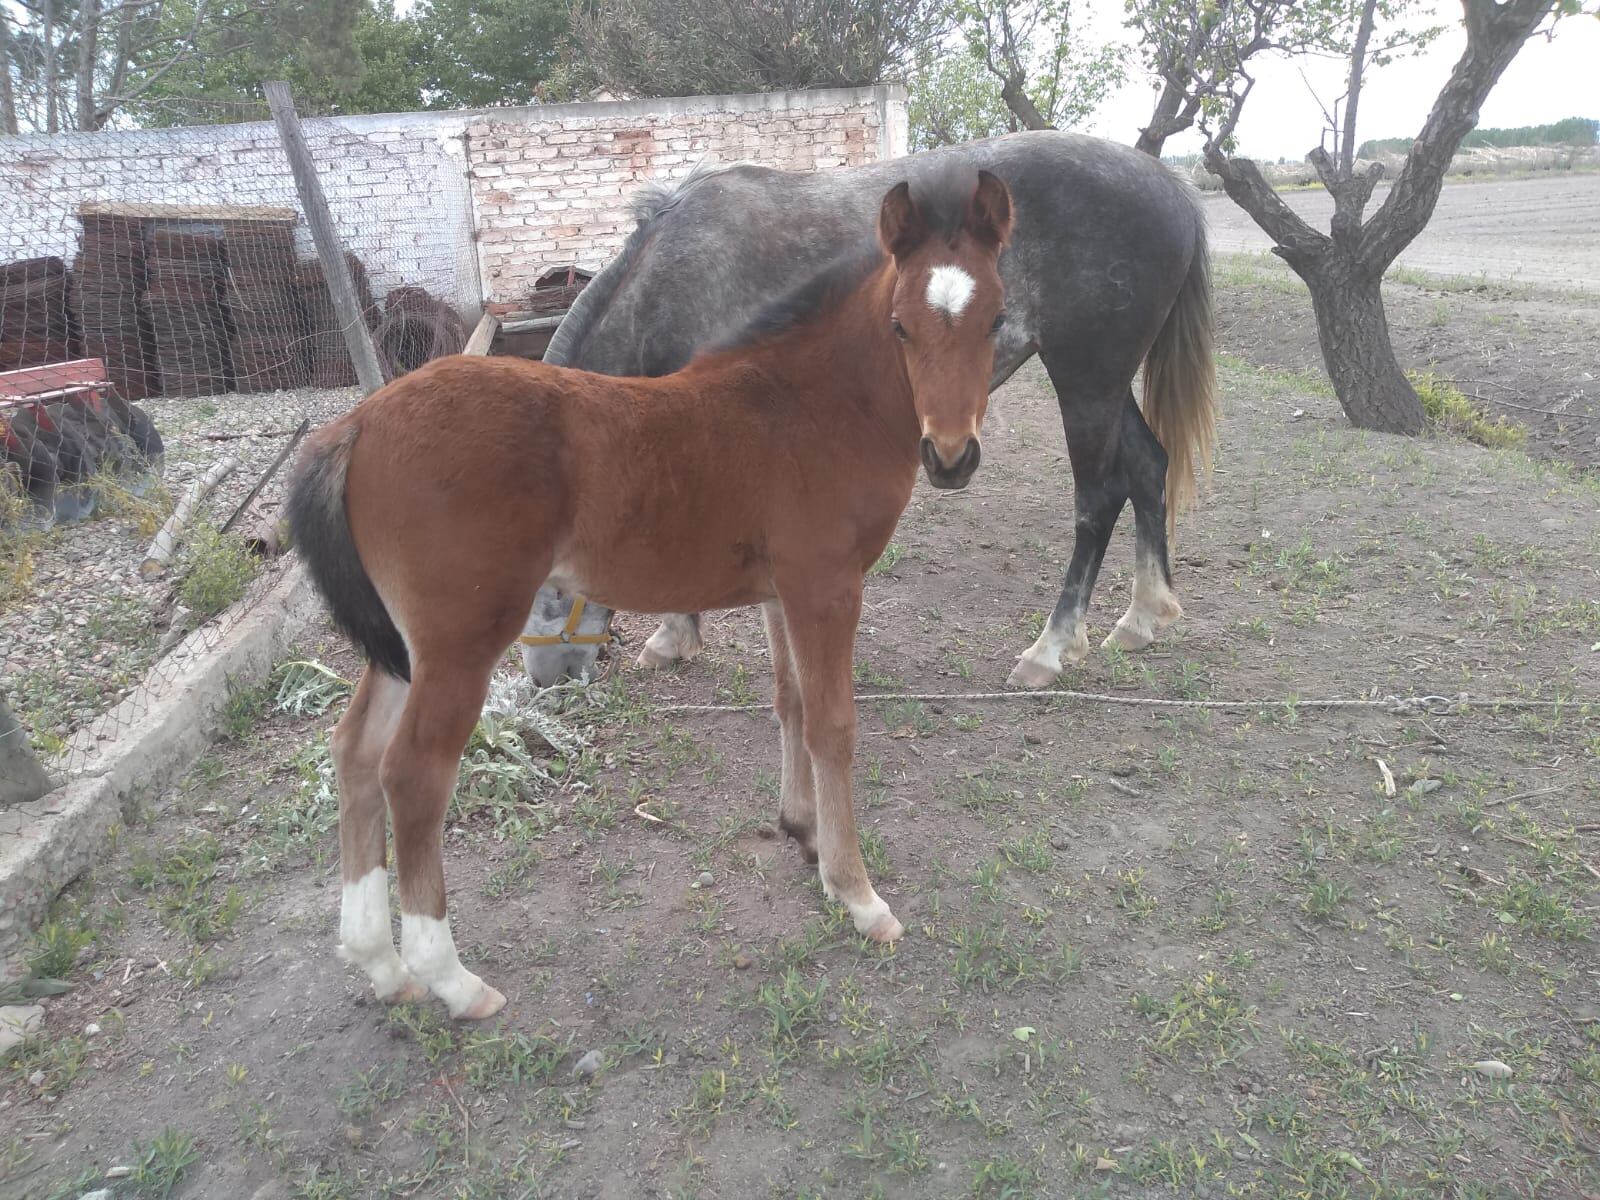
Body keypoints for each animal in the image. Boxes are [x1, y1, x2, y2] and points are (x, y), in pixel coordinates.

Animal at [289, 167, 1011, 1017]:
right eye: (900, 326)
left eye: (998, 319)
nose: (951, 455)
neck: (808, 406)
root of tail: (358, 423)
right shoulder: (827, 586)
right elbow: (834, 726)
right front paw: (859, 895)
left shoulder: (782, 591)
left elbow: (790, 704)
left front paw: (801, 831)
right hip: (460, 640)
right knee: (412, 774)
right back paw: (453, 980)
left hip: (404, 646)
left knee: (354, 752)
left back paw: (379, 962)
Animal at [521, 127, 1209, 691]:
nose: (548, 680)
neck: (663, 283)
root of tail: (1171, 187)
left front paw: (673, 636)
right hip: (1104, 384)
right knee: (1148, 467)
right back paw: (1143, 617)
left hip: (1086, 380)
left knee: (1098, 498)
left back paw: (1051, 648)